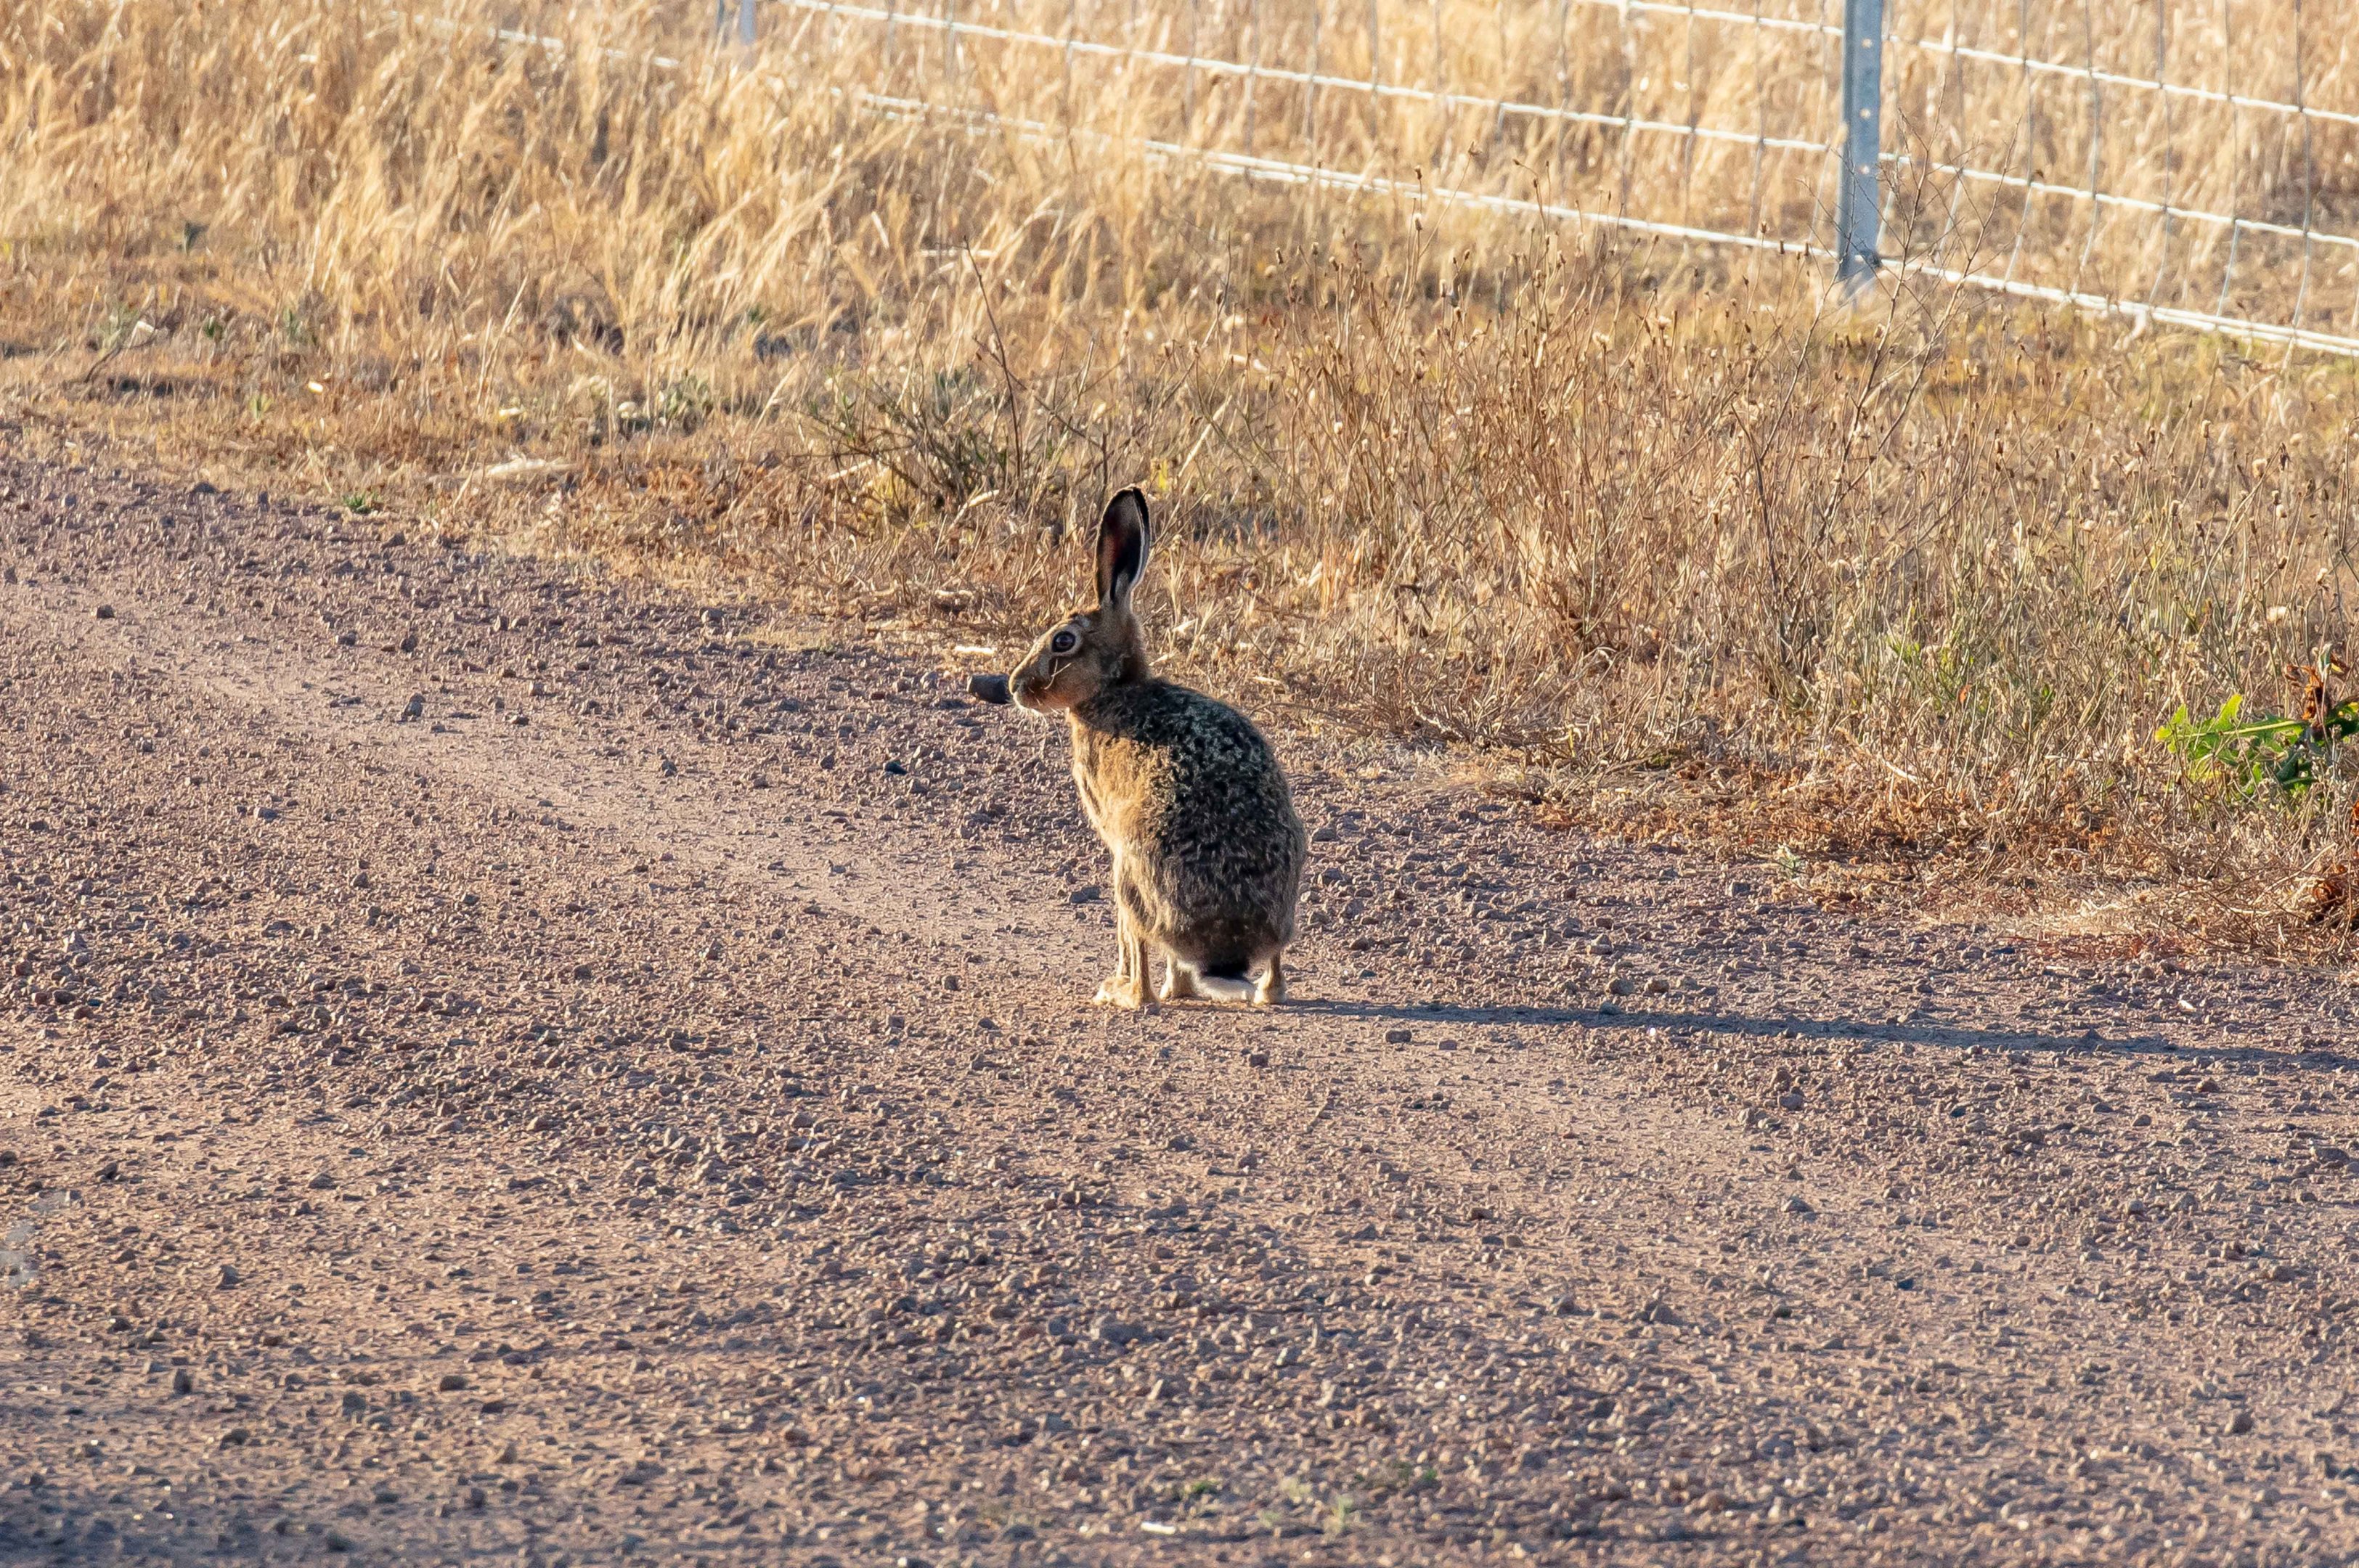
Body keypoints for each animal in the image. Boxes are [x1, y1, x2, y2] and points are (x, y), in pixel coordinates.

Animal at [1005, 488, 1305, 1008]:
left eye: (1063, 641)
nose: (1015, 686)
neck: (1112, 688)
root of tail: (1225, 950)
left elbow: (1128, 938)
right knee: (1271, 975)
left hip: (1129, 868)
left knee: (1138, 943)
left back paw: (1124, 992)